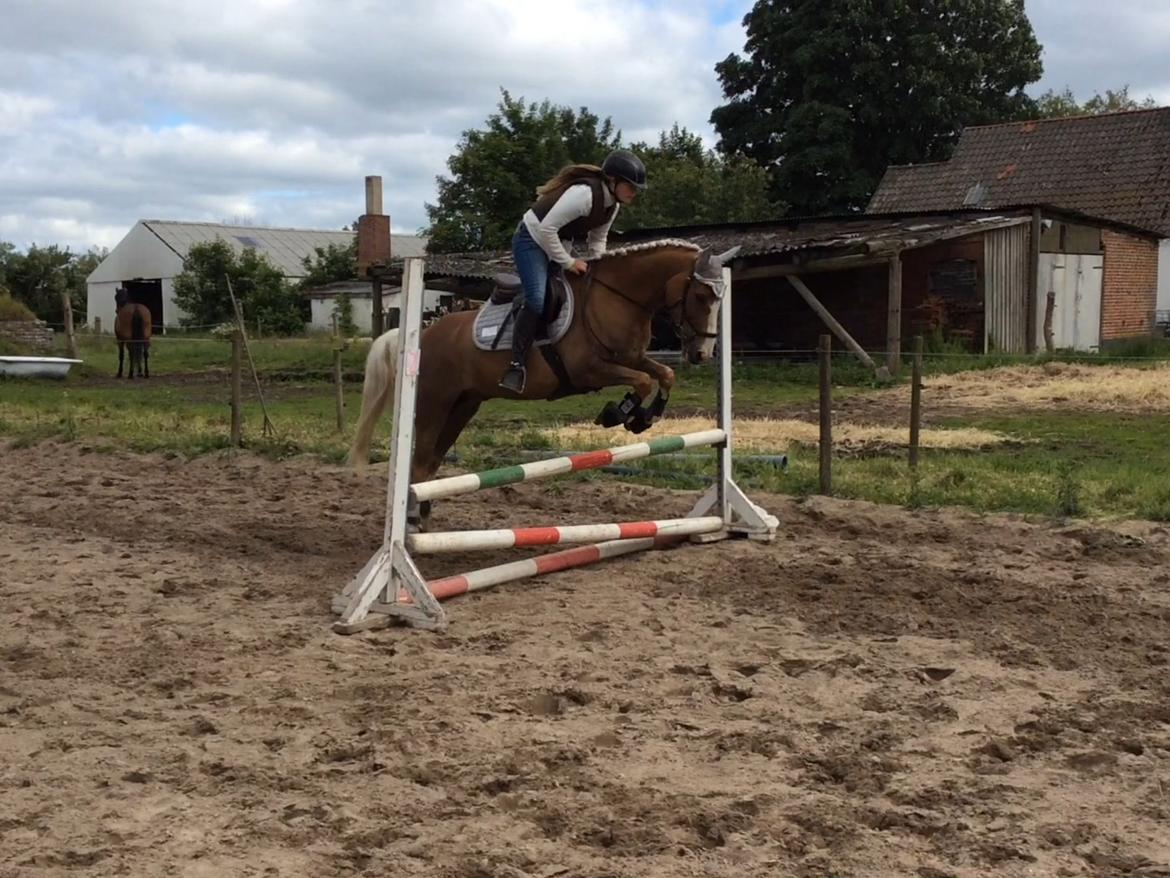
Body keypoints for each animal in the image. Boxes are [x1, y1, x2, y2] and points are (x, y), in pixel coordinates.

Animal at [348, 240, 739, 527]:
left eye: (722, 297)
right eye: (701, 296)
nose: (702, 353)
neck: (615, 297)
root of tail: (420, 335)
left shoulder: (630, 358)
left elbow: (663, 374)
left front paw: (645, 417)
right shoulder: (589, 370)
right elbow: (642, 382)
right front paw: (618, 414)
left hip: (464, 405)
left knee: (430, 460)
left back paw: (423, 512)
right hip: (435, 402)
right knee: (420, 458)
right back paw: (413, 518)